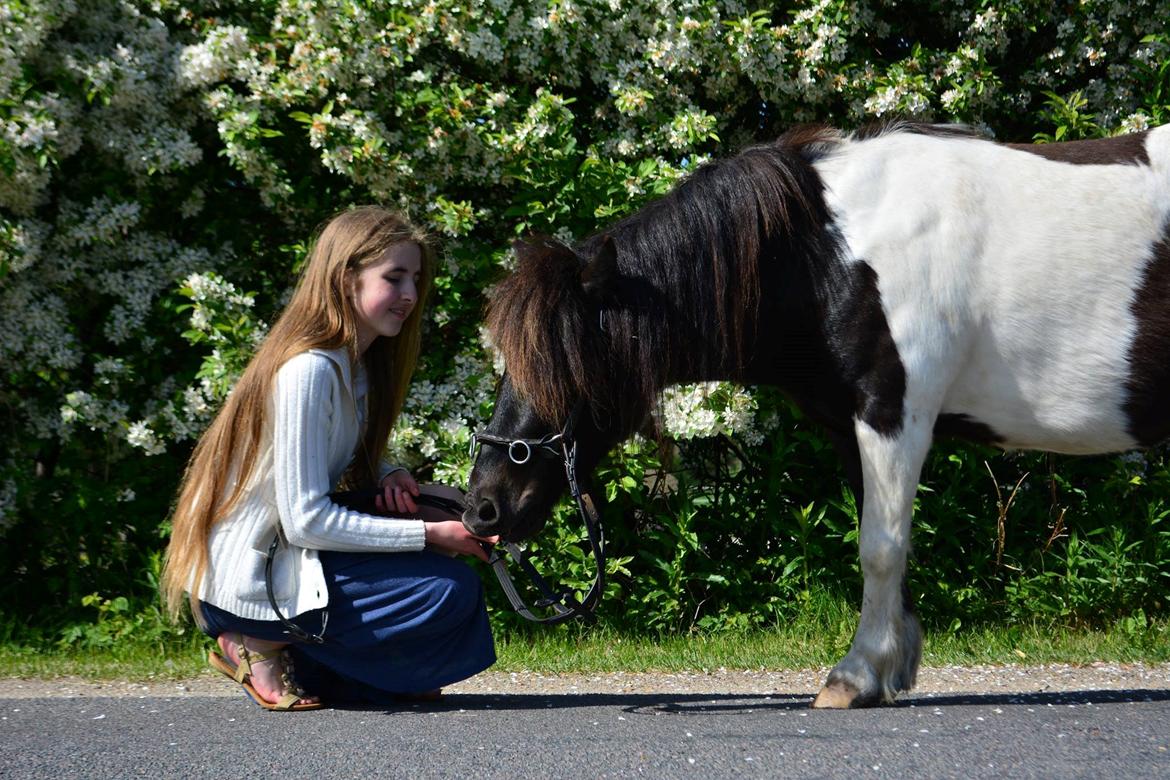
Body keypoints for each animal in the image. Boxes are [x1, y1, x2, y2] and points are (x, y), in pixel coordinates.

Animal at [460, 120, 1165, 706]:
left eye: (560, 365)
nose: (482, 509)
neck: (833, 255)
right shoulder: (855, 428)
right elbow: (886, 543)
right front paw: (888, 669)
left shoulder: (893, 413)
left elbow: (880, 546)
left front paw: (853, 677)